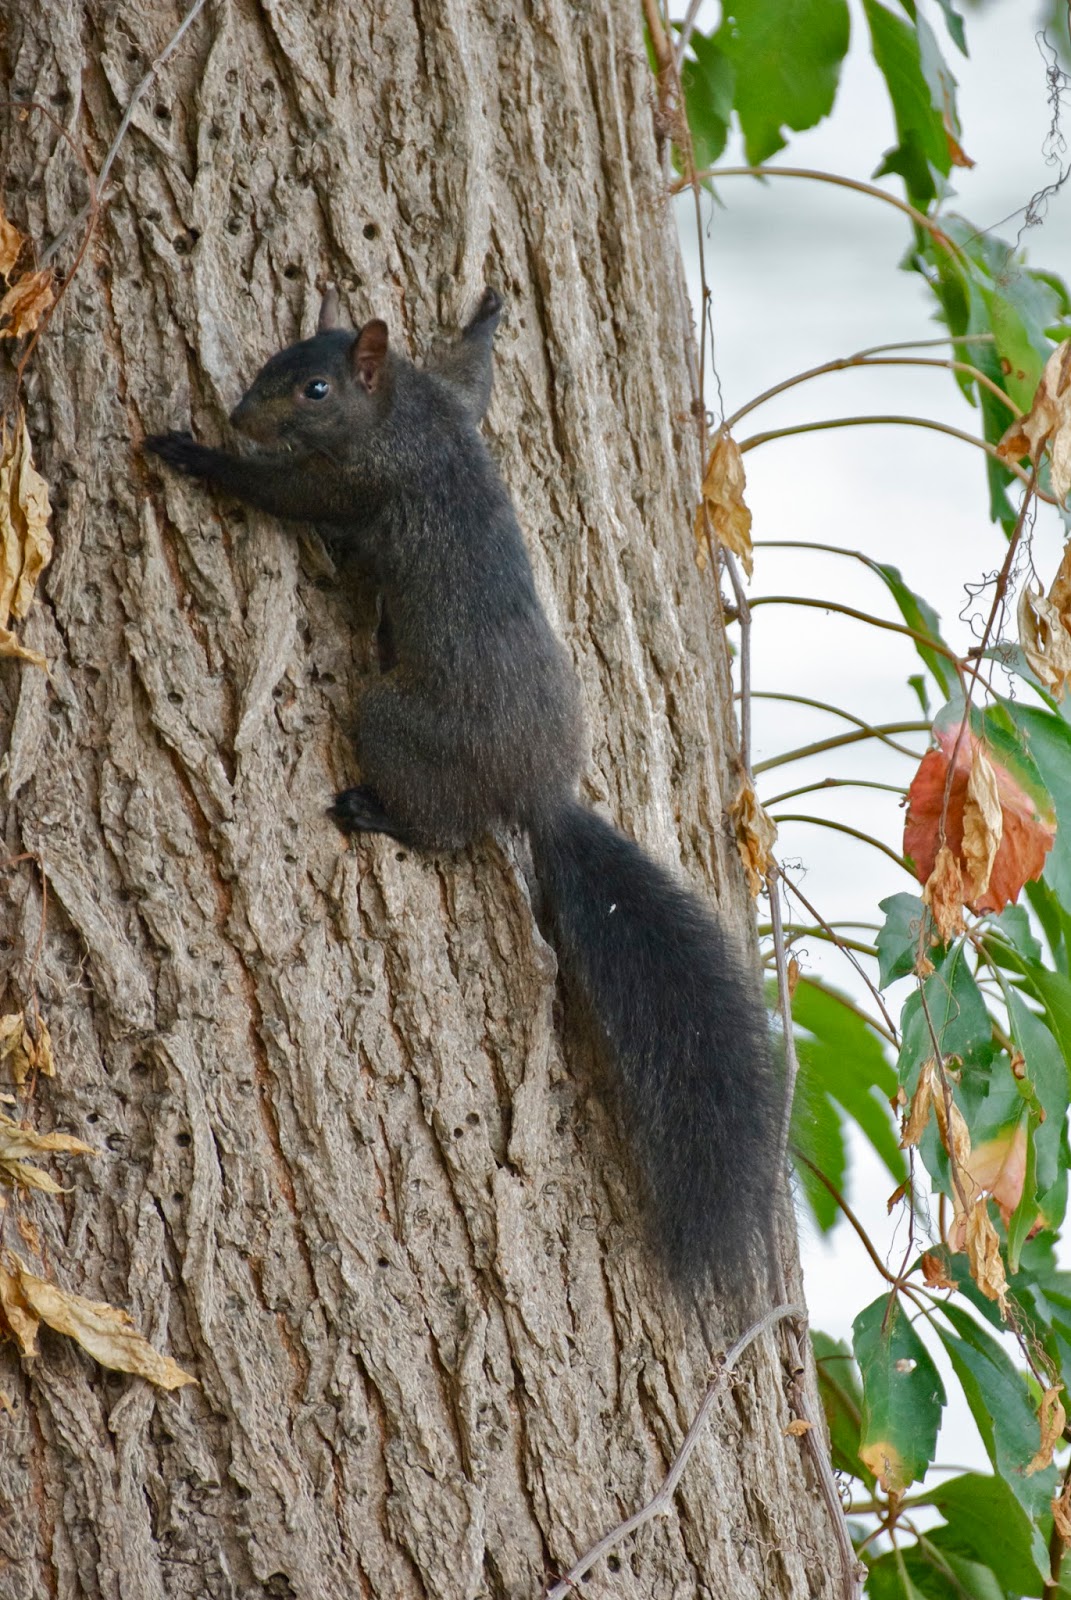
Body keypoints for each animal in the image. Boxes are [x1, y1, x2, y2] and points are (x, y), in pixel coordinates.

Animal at [144, 286, 781, 1290]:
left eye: (314, 389)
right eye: (275, 362)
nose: (241, 416)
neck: (403, 410)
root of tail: (538, 792)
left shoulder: (355, 484)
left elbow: (282, 496)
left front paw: (196, 454)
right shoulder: (454, 402)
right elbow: (476, 374)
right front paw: (486, 315)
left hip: (393, 724)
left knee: (444, 829)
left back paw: (375, 813)